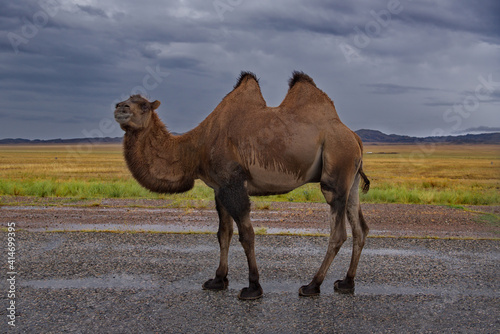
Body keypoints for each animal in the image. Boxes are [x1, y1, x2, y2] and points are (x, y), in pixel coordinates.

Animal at [115, 72, 370, 302]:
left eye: (144, 105)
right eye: (127, 100)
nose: (119, 107)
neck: (196, 147)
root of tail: (355, 138)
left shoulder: (233, 182)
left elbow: (247, 234)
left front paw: (253, 287)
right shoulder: (219, 187)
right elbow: (223, 233)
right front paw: (218, 280)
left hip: (336, 170)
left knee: (338, 232)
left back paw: (312, 285)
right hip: (352, 179)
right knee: (360, 228)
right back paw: (346, 283)